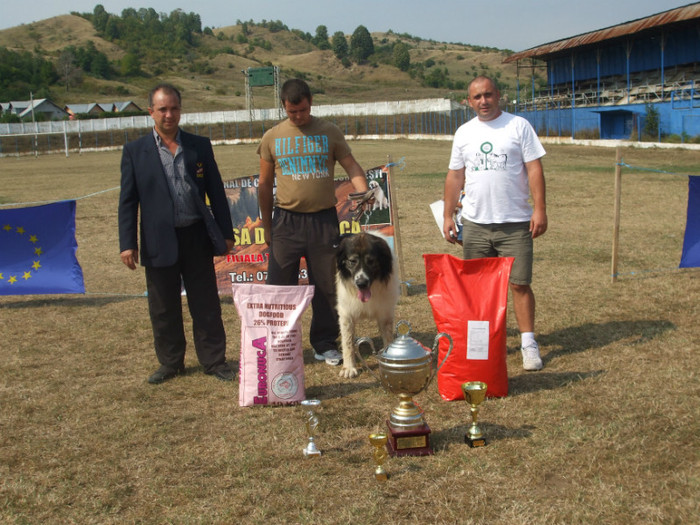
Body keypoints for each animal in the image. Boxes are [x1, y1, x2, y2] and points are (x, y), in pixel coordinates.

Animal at [334, 232, 400, 376]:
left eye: (371, 261)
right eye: (352, 261)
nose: (361, 283)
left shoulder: (385, 312)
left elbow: (388, 337)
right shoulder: (346, 313)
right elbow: (347, 342)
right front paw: (349, 367)